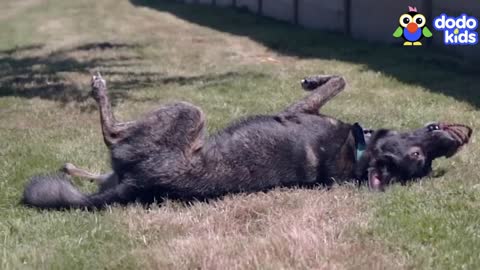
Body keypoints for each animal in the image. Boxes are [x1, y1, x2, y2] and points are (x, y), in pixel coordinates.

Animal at [20, 73, 470, 210]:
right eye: (423, 158)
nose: (455, 141)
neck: (360, 155)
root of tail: (139, 184)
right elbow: (338, 80)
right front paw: (314, 77)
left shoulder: (299, 110)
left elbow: (338, 81)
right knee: (101, 171)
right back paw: (73, 168)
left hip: (190, 113)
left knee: (112, 133)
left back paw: (99, 89)